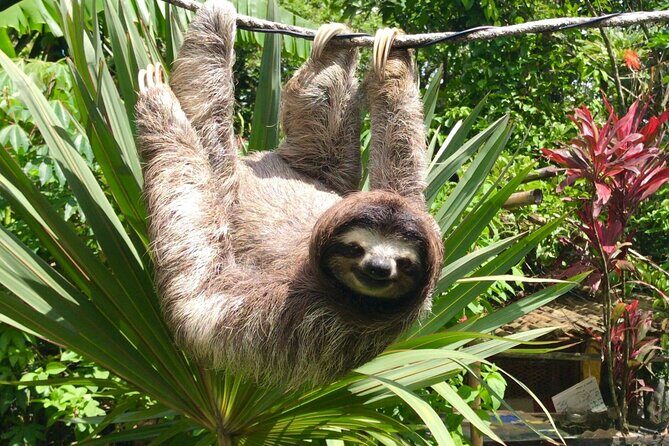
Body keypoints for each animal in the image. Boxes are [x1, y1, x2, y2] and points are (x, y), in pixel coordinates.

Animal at [135, 0, 443, 388]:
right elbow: (403, 176)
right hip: (310, 166)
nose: (378, 268)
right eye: (356, 247)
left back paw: (215, 31)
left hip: (226, 179)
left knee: (209, 134)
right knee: (320, 141)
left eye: (405, 263)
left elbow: (197, 289)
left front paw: (159, 107)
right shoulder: (415, 213)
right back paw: (333, 51)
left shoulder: (305, 317)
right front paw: (394, 63)